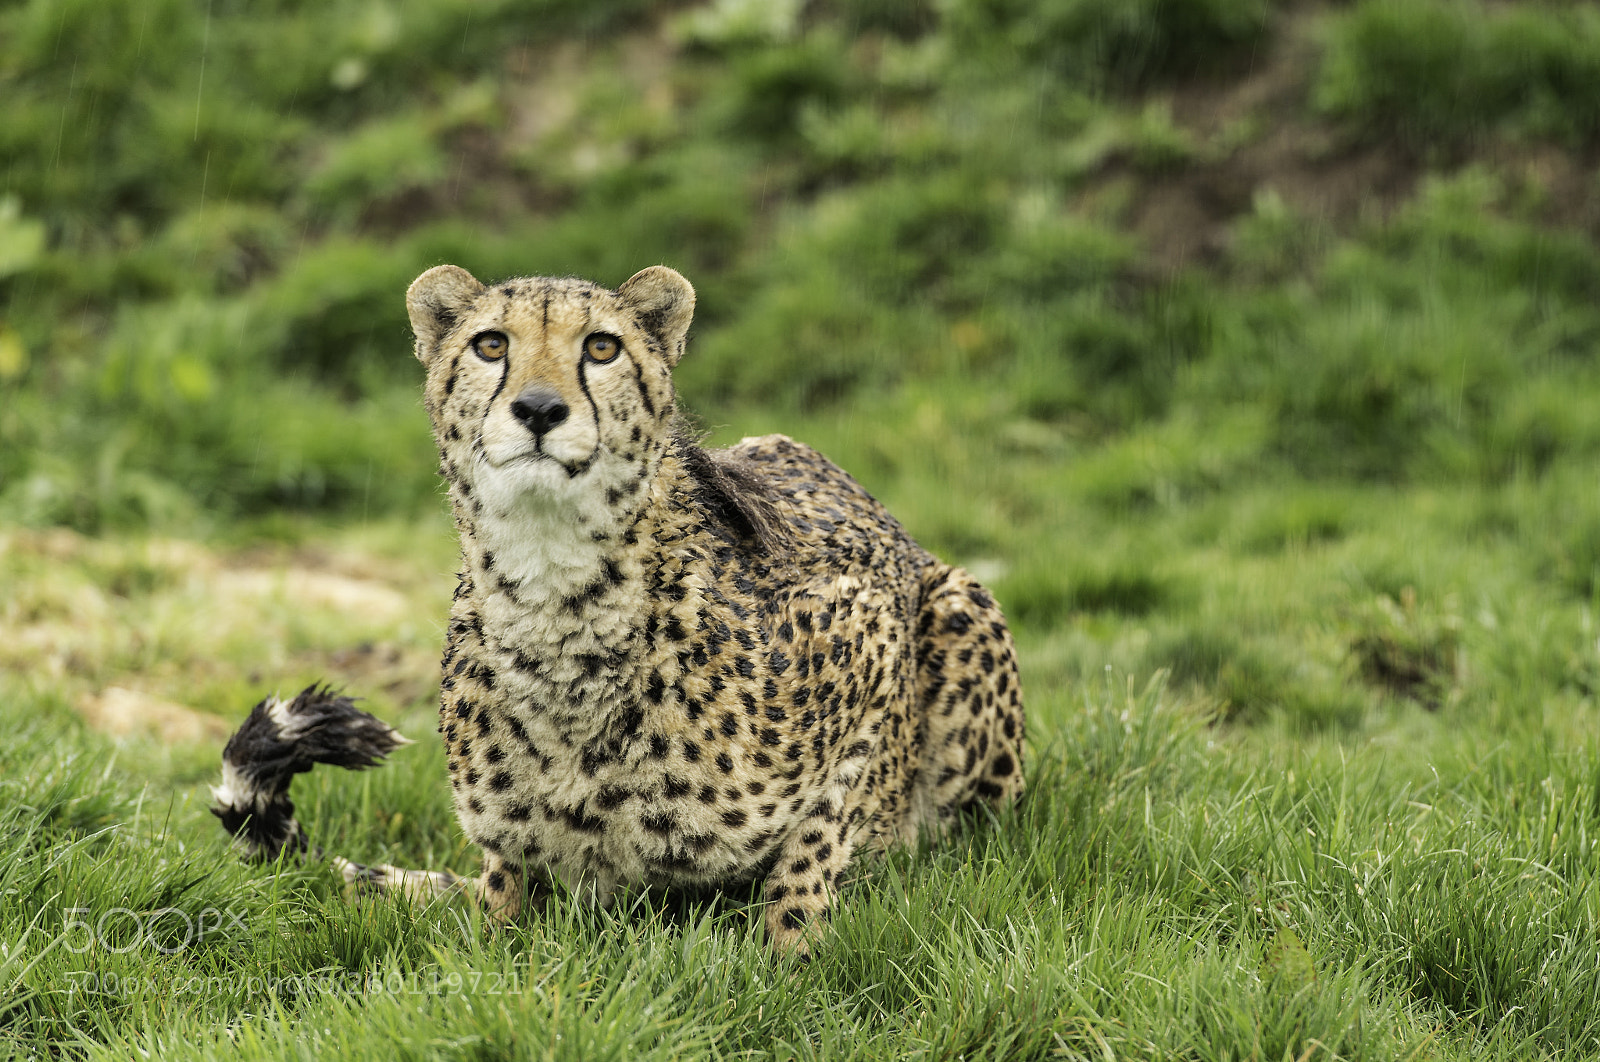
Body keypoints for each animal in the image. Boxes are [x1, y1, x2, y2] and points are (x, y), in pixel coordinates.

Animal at [213, 264, 1025, 955]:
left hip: (961, 602)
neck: (557, 594)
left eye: (601, 347)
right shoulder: (511, 853)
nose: (539, 409)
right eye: (491, 344)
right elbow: (500, 908)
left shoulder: (871, 630)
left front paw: (792, 950)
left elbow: (819, 835)